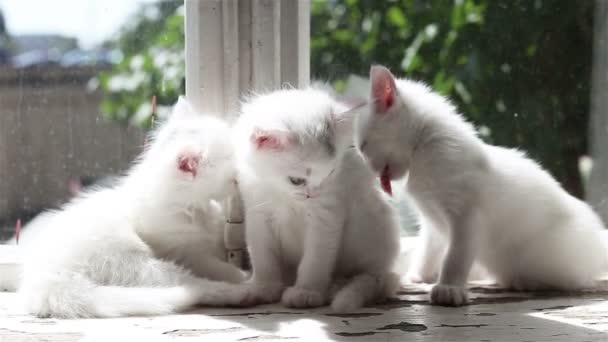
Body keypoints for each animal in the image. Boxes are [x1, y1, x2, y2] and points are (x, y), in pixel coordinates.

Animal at [19, 97, 247, 320]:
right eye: (230, 159)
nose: (243, 171)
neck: (193, 207)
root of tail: (44, 283)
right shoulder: (185, 253)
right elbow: (218, 267)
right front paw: (239, 275)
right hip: (136, 263)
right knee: (192, 285)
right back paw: (241, 292)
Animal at [232, 87, 400, 312]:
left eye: (330, 173)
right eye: (296, 181)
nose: (314, 194)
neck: (286, 198)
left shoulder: (326, 215)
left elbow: (315, 259)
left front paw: (306, 292)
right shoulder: (257, 211)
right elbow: (263, 255)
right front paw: (264, 288)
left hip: (373, 225)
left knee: (372, 278)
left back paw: (337, 286)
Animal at [356, 65, 608, 306]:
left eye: (363, 145)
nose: (368, 168)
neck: (424, 149)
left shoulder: (467, 215)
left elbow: (456, 255)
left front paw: (449, 288)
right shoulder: (433, 220)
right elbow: (429, 250)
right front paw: (417, 277)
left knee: (572, 277)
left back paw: (524, 281)